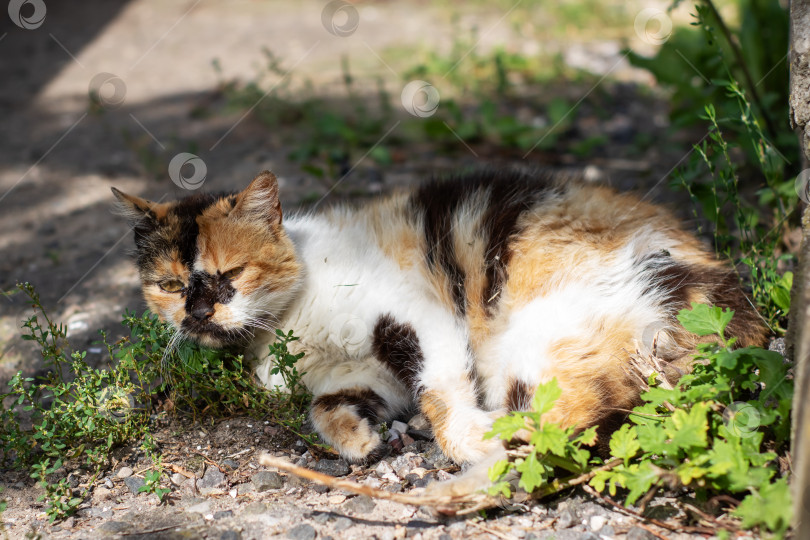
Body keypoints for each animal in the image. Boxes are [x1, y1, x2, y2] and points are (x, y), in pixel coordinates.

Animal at [113, 169, 764, 468]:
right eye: (170, 286)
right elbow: (323, 406)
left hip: (541, 337)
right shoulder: (355, 376)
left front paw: (461, 434)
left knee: (567, 418)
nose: (199, 310)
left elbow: (441, 388)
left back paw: (489, 437)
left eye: (232, 273)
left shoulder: (417, 316)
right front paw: (359, 440)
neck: (287, 329)